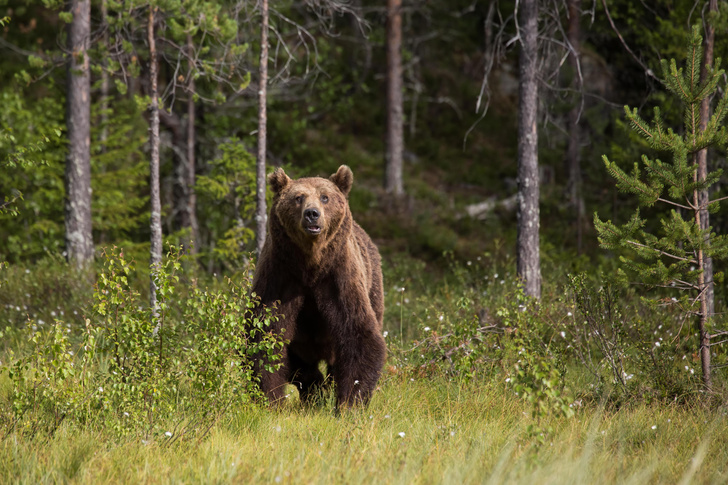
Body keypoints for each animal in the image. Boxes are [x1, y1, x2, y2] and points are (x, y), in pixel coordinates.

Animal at [252, 165, 386, 408]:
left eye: (325, 197)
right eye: (298, 198)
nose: (312, 213)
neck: (311, 265)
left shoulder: (338, 277)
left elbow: (358, 335)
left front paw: (348, 404)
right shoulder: (280, 276)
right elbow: (266, 334)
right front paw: (271, 399)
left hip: (373, 289)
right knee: (302, 364)